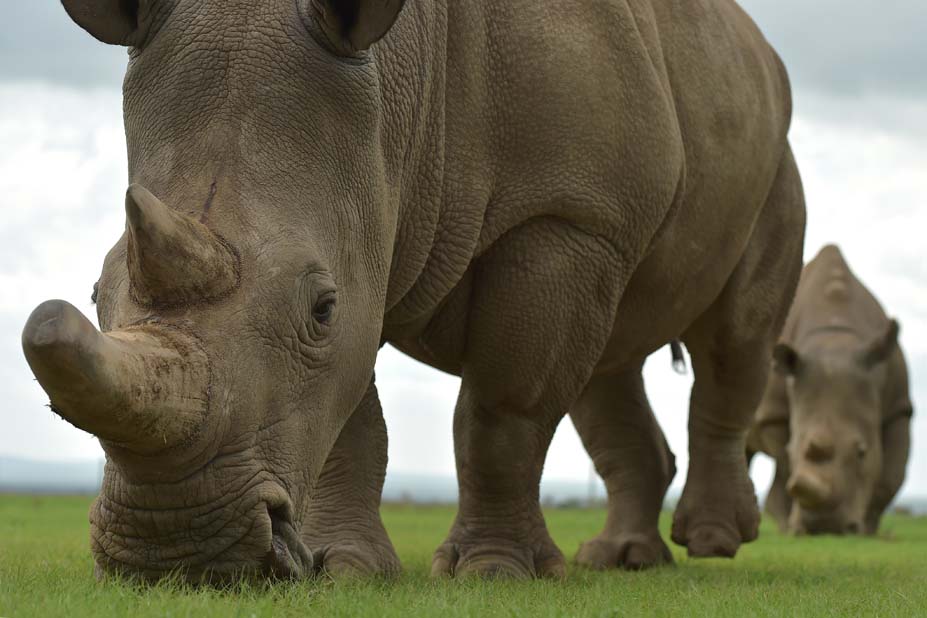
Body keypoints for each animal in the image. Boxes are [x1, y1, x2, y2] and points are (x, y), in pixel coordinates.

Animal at [22, 0, 805, 581]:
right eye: (96, 295)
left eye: (320, 308)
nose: (175, 549)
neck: (401, 81)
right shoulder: (368, 220)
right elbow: (349, 415)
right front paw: (344, 569)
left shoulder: (566, 212)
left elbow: (503, 410)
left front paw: (493, 573)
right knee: (608, 360)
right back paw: (622, 560)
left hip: (765, 157)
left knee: (734, 339)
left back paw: (711, 542)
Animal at [748, 245, 913, 535]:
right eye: (794, 448)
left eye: (862, 452)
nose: (825, 528)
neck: (834, 337)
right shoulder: (773, 413)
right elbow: (786, 465)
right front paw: (793, 528)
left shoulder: (899, 406)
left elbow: (891, 475)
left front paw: (868, 531)